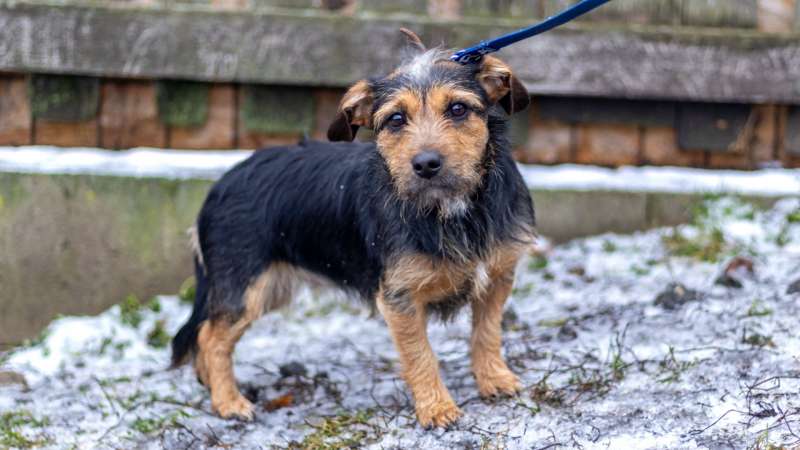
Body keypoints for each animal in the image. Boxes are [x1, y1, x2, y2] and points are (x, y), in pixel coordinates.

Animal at [171, 30, 535, 429]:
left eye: (457, 109)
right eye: (396, 119)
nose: (426, 164)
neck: (452, 209)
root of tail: (218, 186)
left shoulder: (497, 276)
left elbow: (487, 333)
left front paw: (495, 379)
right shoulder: (399, 298)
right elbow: (421, 355)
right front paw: (437, 409)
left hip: (269, 287)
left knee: (206, 334)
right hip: (245, 285)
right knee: (210, 337)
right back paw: (228, 403)